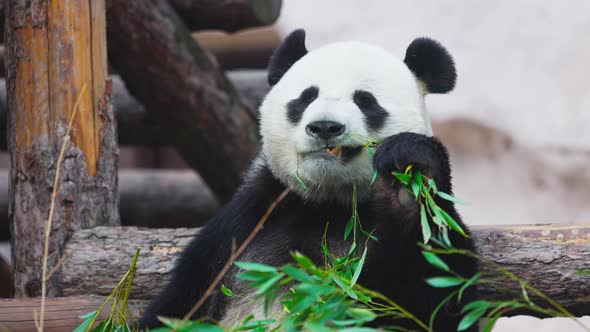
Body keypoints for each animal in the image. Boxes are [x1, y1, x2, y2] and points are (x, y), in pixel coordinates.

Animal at [140, 29, 480, 332]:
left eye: (365, 101)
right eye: (306, 97)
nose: (325, 127)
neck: (330, 204)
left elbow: (441, 298)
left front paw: (407, 186)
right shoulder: (243, 226)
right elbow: (180, 304)